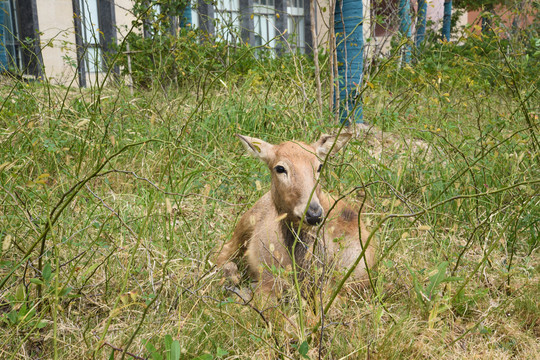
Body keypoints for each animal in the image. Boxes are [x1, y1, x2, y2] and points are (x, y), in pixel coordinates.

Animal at [215, 134, 376, 294]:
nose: (314, 214)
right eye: (280, 168)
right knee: (222, 250)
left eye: (319, 166)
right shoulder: (268, 279)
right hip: (246, 222)